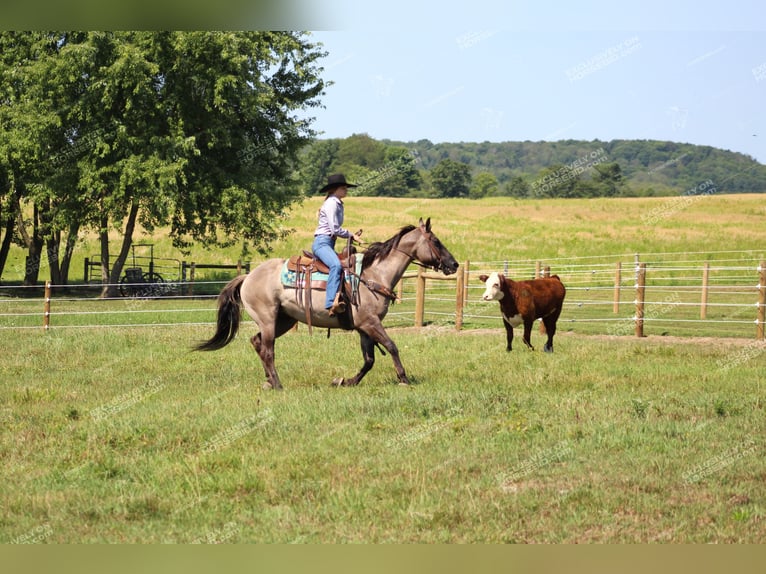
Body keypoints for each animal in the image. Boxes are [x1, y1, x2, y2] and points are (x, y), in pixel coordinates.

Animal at [195, 219, 460, 392]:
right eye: (436, 241)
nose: (454, 264)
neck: (375, 273)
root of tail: (248, 276)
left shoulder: (364, 328)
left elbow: (369, 359)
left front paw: (345, 381)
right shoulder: (371, 323)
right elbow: (392, 347)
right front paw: (403, 379)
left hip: (284, 320)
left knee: (257, 342)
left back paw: (268, 381)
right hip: (269, 319)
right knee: (268, 350)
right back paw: (278, 384)